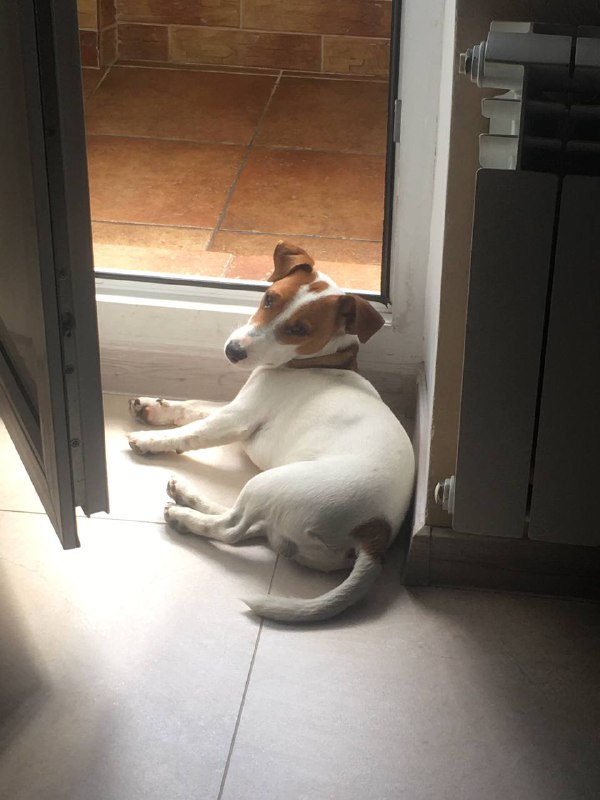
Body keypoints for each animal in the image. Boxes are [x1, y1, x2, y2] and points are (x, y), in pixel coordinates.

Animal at [128, 241, 414, 623]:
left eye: (299, 330)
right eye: (268, 298)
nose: (233, 351)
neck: (314, 362)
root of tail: (375, 534)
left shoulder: (236, 418)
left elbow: (192, 431)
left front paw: (150, 441)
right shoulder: (238, 406)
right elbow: (192, 407)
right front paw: (151, 408)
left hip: (272, 484)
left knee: (232, 528)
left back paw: (183, 516)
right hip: (277, 510)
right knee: (246, 522)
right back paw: (186, 495)